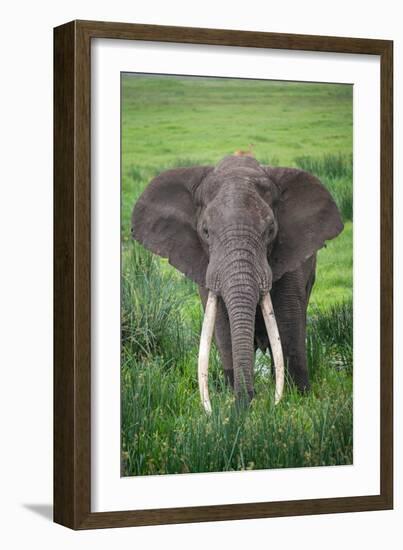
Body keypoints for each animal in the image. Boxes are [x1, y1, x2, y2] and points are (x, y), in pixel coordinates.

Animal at [132, 153, 344, 412]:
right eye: (205, 232)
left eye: (270, 231)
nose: (247, 403)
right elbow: (223, 323)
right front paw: (235, 404)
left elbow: (287, 320)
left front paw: (296, 400)